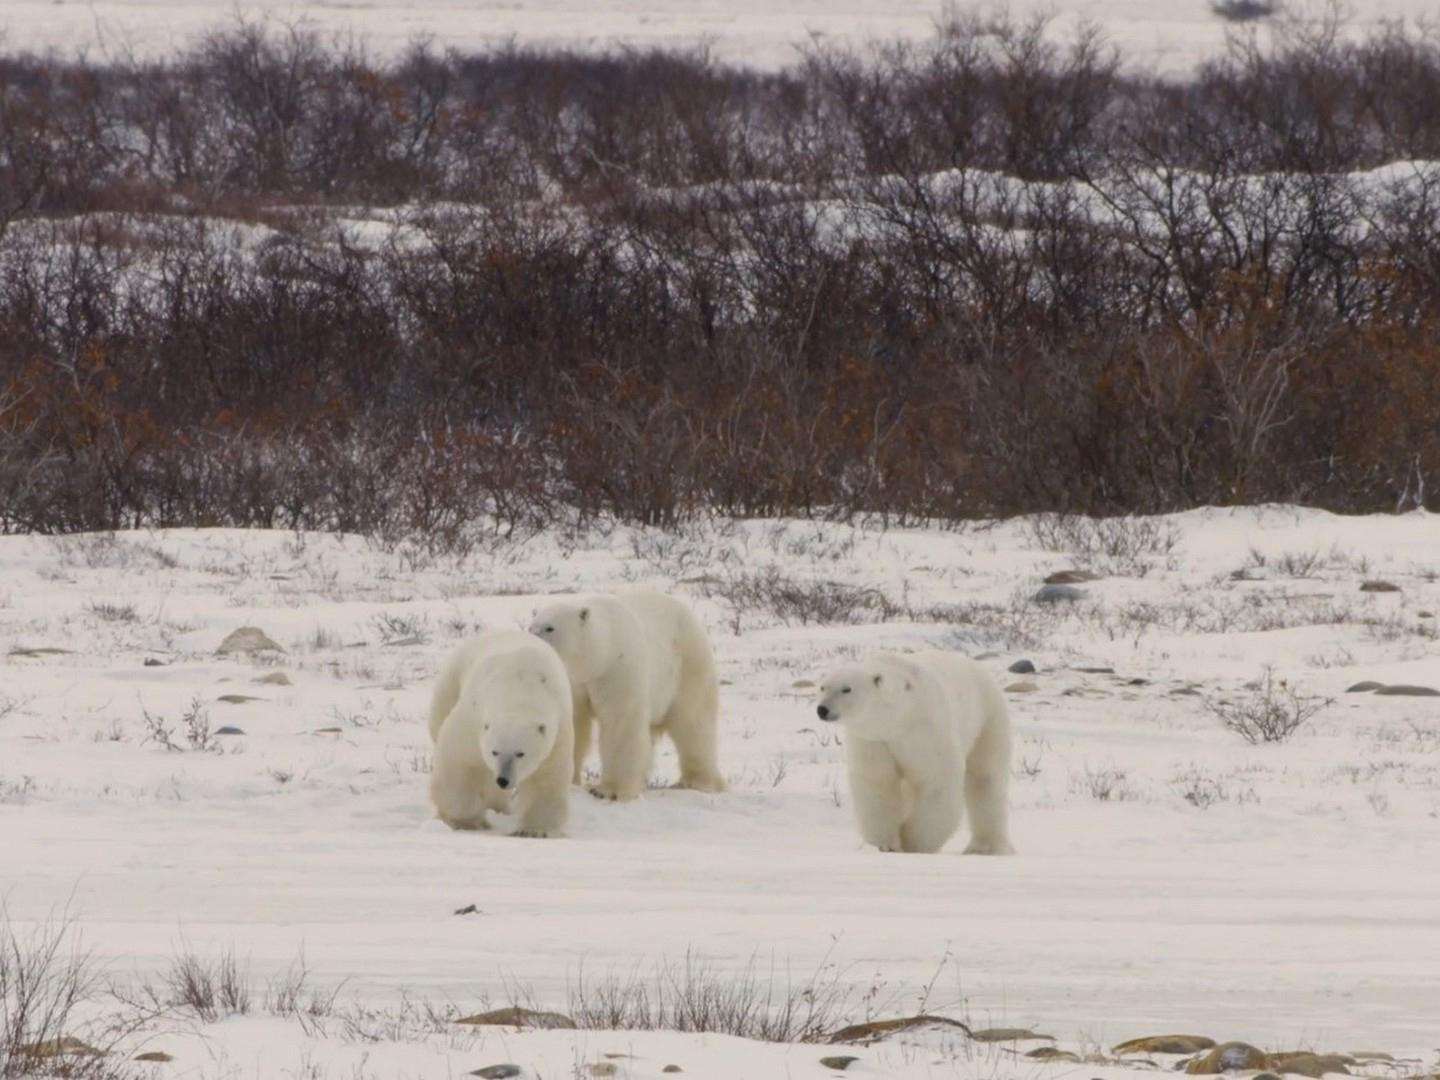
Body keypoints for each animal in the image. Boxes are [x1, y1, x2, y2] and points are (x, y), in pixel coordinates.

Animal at [420, 630, 573, 840]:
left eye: (520, 753)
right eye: (494, 751)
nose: (503, 779)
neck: (519, 691)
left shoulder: (558, 733)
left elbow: (547, 778)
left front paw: (534, 830)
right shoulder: (472, 719)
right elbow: (459, 760)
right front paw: (465, 821)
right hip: (451, 682)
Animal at [527, 593, 725, 806]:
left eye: (550, 628)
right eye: (531, 627)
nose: (532, 640)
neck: (599, 657)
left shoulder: (617, 670)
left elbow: (620, 724)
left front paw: (608, 790)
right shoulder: (572, 682)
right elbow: (572, 723)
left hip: (688, 667)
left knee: (694, 724)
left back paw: (696, 782)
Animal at [817, 650, 1019, 852]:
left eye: (846, 689)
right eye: (823, 687)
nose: (822, 709)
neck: (899, 717)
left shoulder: (925, 731)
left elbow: (936, 779)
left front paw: (912, 842)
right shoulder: (874, 740)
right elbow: (877, 781)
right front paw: (886, 843)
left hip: (987, 720)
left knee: (985, 779)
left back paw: (984, 847)